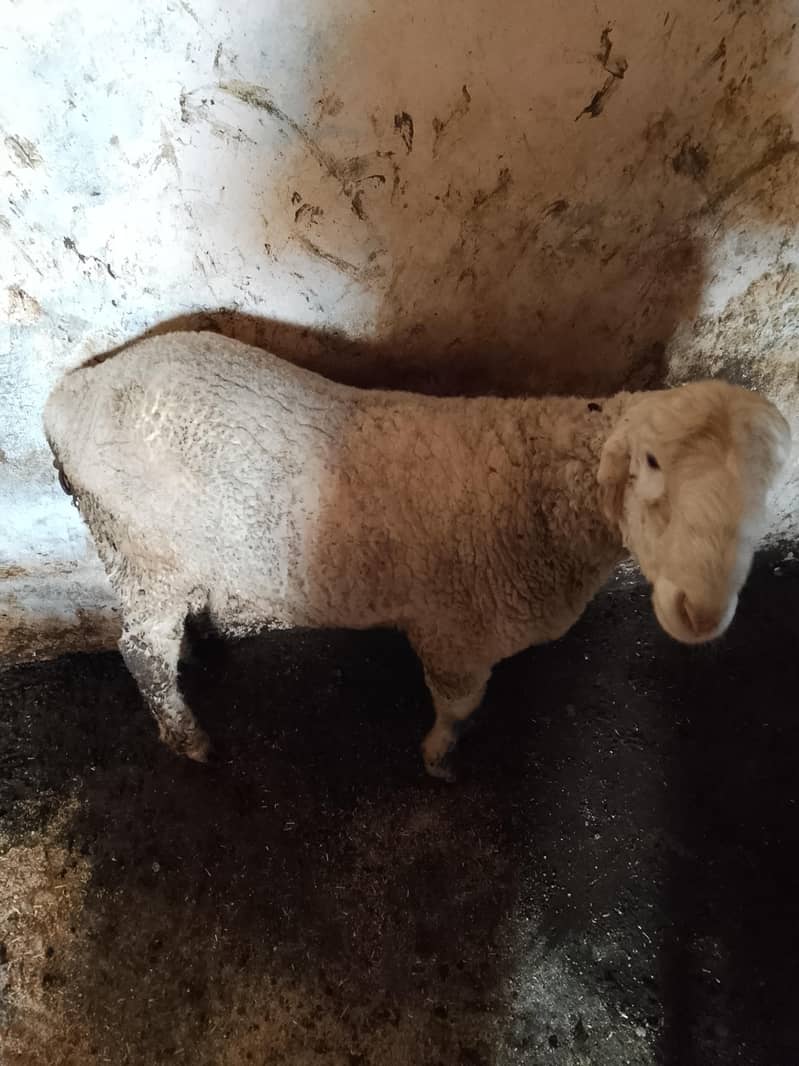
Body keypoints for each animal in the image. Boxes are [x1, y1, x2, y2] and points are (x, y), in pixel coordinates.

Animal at [43, 330, 790, 779]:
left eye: (770, 482)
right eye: (651, 463)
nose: (701, 611)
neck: (534, 491)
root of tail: (72, 392)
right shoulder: (454, 633)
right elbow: (457, 705)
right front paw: (438, 759)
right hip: (140, 547)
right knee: (141, 649)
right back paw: (187, 735)